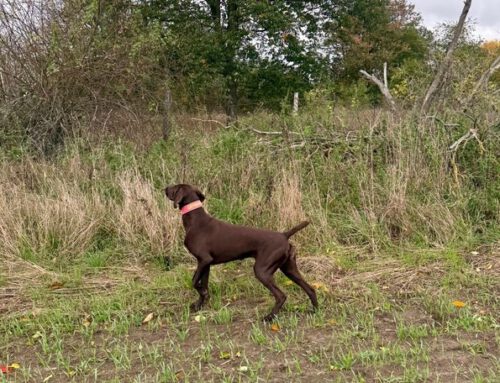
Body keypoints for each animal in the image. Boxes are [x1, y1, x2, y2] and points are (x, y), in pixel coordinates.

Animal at [166, 184, 318, 322]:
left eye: (175, 187)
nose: (165, 188)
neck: (196, 220)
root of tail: (284, 235)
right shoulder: (206, 264)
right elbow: (203, 285)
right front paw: (199, 305)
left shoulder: (204, 260)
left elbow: (194, 282)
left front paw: (201, 297)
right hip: (289, 268)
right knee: (310, 289)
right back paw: (315, 310)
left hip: (262, 270)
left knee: (281, 296)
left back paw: (269, 317)